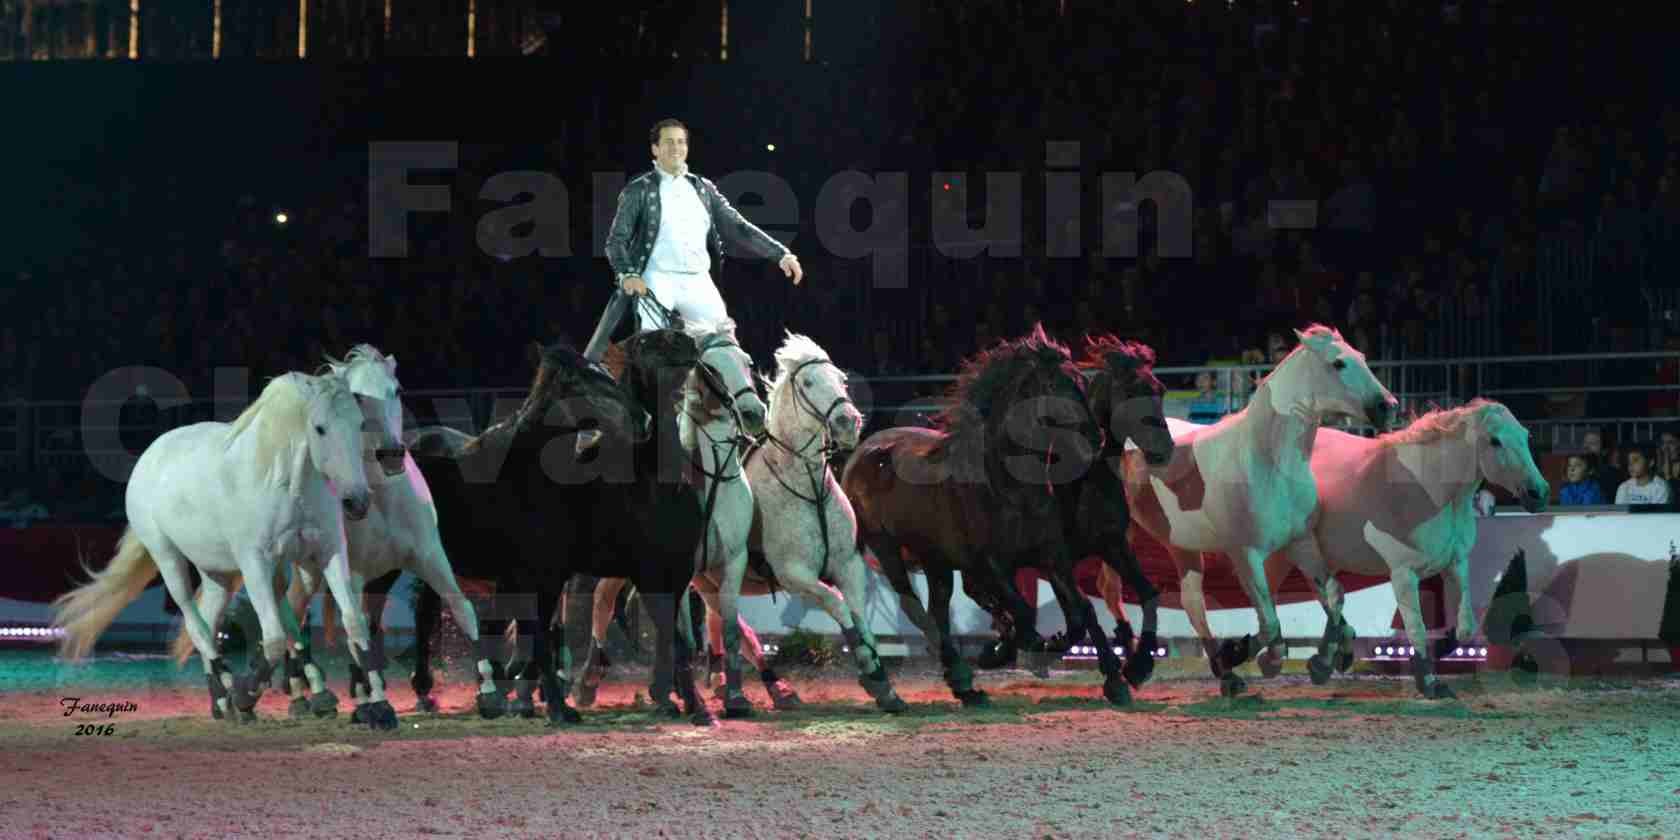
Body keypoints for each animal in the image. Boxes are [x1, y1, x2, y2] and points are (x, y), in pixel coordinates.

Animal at [53, 374, 374, 722]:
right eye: (319, 428)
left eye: (360, 423)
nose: (358, 501)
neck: (287, 483)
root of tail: (152, 452)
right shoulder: (255, 563)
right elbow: (273, 638)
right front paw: (245, 696)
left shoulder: (328, 552)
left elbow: (353, 622)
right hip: (169, 560)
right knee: (198, 627)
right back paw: (229, 696)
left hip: (220, 573)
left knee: (216, 618)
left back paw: (225, 700)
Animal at [170, 344, 497, 725]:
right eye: (357, 396)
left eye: (397, 390)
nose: (390, 454)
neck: (380, 498)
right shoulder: (351, 571)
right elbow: (357, 633)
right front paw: (372, 702)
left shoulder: (430, 557)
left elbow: (461, 607)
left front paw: (489, 693)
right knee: (290, 615)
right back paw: (294, 694)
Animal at [409, 334, 719, 729]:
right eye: (649, 342)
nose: (690, 342)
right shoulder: (625, 574)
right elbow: (541, 635)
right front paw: (556, 706)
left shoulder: (671, 575)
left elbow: (678, 641)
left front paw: (690, 703)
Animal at [1115, 324, 1404, 698]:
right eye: (1338, 363)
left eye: (1363, 357)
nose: (1389, 407)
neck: (1266, 461)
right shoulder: (1245, 554)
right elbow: (1270, 626)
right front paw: (1251, 655)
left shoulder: (1300, 543)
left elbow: (1332, 595)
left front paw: (1328, 659)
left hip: (1179, 545)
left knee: (1187, 603)